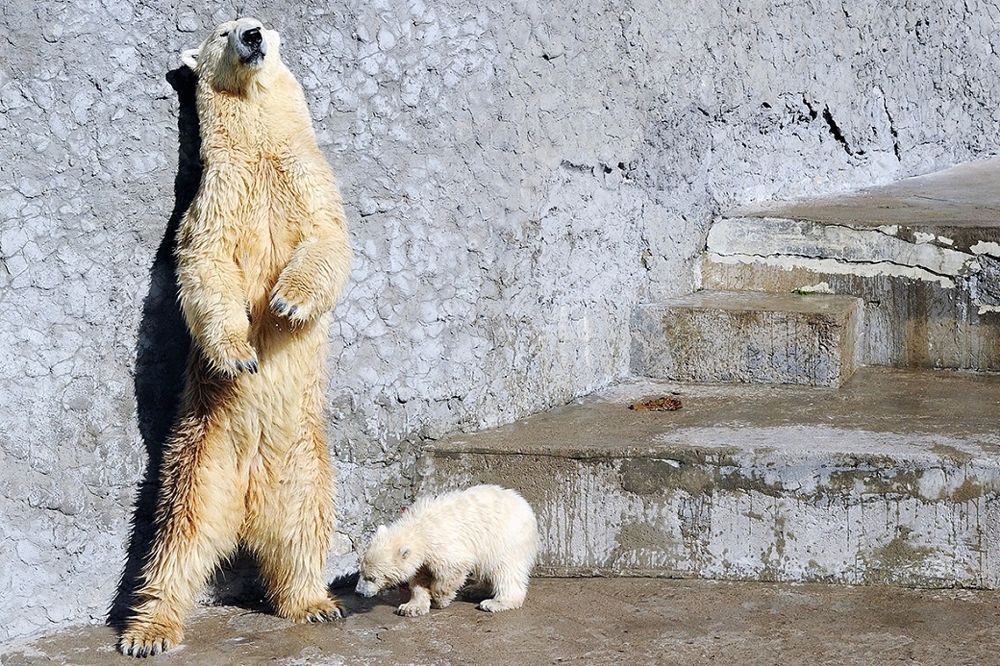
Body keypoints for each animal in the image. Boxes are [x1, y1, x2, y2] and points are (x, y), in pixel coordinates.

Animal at [119, 18, 354, 656]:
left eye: (260, 22)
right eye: (223, 30)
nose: (251, 35)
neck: (260, 148)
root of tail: (248, 504)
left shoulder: (308, 178)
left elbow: (327, 240)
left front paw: (287, 302)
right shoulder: (216, 193)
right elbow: (207, 263)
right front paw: (240, 356)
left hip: (304, 462)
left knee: (303, 530)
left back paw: (315, 602)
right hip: (201, 457)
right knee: (177, 539)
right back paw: (148, 631)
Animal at [354, 482, 536, 612]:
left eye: (373, 578)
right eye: (361, 571)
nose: (359, 592)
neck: (419, 527)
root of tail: (526, 507)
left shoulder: (441, 545)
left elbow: (452, 570)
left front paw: (440, 600)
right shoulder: (423, 557)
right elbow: (419, 577)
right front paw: (411, 607)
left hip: (505, 539)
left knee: (505, 570)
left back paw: (495, 603)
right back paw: (475, 589)